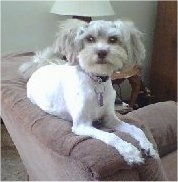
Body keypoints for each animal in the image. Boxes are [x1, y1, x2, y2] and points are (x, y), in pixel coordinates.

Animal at [19, 19, 159, 164]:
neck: (96, 81)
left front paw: (147, 145)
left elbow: (135, 128)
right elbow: (111, 136)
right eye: (90, 38)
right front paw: (130, 152)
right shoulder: (82, 125)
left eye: (113, 39)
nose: (102, 52)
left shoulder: (110, 119)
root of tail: (40, 67)